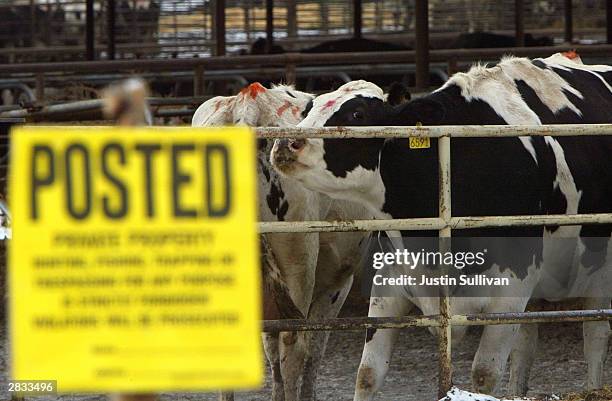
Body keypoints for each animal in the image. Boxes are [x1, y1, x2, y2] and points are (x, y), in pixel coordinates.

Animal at [272, 54, 612, 398]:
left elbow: (484, 373)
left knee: (595, 334)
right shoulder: (389, 281)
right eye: (310, 108)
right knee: (528, 344)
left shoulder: (513, 286)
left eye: (358, 113)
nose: (286, 143)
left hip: (599, 274)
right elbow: (367, 374)